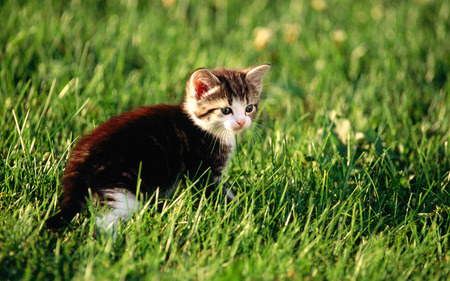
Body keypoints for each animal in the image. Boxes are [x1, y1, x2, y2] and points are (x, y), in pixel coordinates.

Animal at [45, 63, 270, 230]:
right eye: (226, 110)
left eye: (249, 108)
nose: (241, 122)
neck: (202, 126)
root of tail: (78, 164)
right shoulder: (203, 171)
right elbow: (218, 193)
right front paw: (245, 211)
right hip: (122, 186)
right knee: (104, 219)